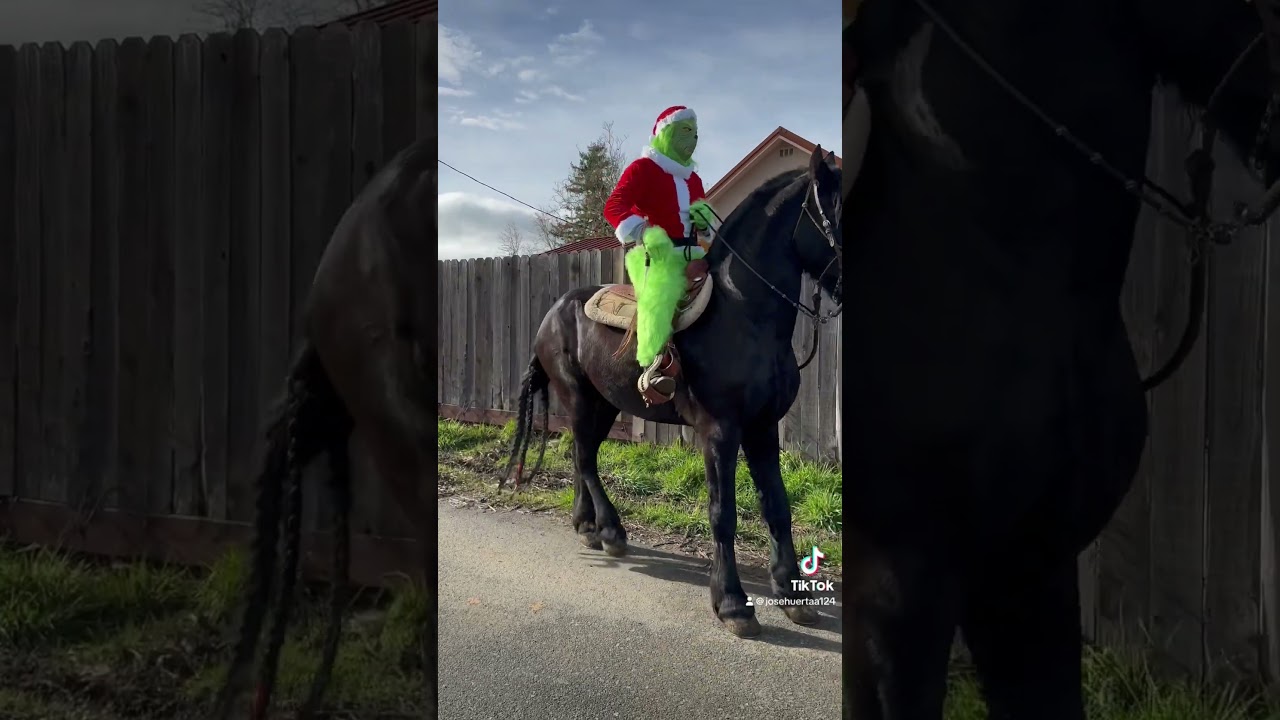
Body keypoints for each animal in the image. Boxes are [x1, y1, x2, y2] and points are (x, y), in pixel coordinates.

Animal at [503, 146, 843, 639]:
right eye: (839, 209)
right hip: (578, 398)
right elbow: (723, 513)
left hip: (604, 405)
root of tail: (550, 316)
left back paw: (586, 525)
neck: (745, 315)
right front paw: (732, 604)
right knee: (584, 457)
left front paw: (792, 594)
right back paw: (610, 531)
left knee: (581, 455)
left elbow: (777, 506)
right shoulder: (719, 431)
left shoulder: (762, 428)